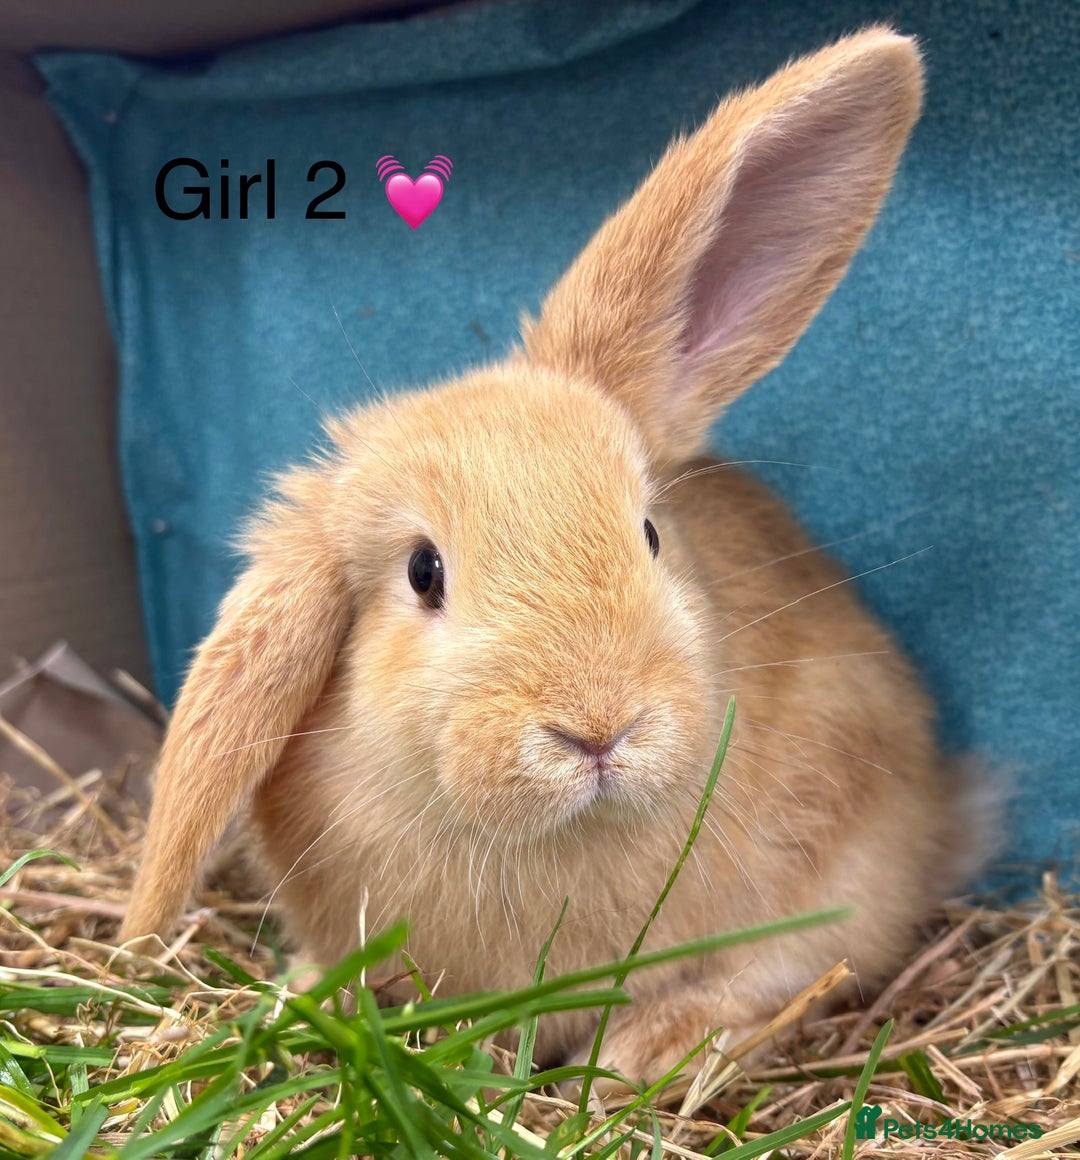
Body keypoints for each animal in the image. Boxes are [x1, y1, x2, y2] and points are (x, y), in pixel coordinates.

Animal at [121, 27, 987, 1090]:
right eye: (424, 572)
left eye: (649, 533)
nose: (599, 727)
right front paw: (312, 998)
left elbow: (778, 971)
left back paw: (654, 1047)